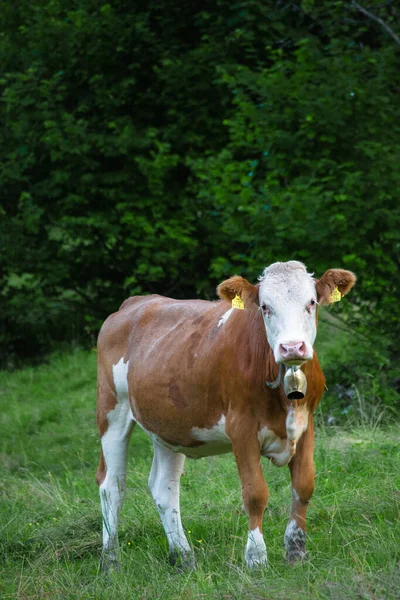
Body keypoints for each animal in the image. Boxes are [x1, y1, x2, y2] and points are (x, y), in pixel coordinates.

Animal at [97, 260, 356, 568]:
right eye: (265, 307)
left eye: (311, 303)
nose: (292, 347)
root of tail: (135, 302)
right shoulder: (241, 427)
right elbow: (255, 493)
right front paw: (256, 557)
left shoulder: (306, 424)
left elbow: (304, 485)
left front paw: (296, 552)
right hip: (111, 411)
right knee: (111, 485)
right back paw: (110, 562)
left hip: (170, 426)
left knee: (164, 488)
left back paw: (184, 558)